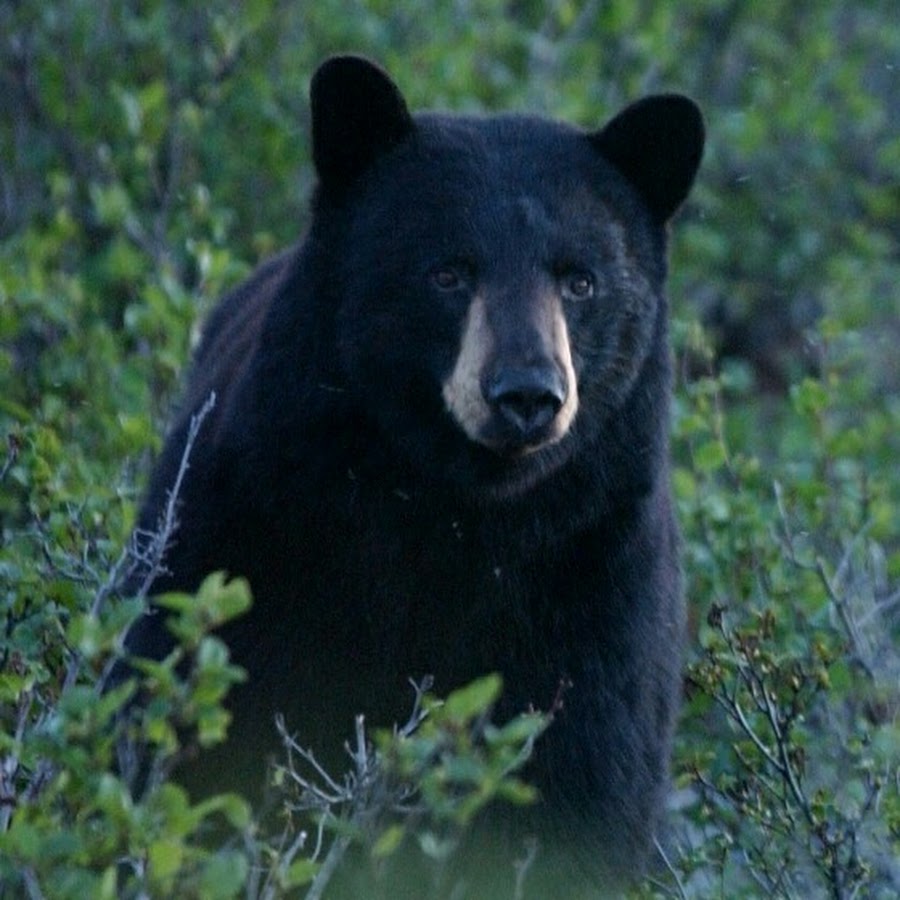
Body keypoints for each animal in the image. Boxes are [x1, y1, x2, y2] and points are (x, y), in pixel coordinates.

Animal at [126, 54, 704, 892]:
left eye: (581, 280)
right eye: (449, 272)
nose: (527, 393)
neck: (456, 514)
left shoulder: (597, 578)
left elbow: (589, 786)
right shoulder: (255, 529)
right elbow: (195, 723)